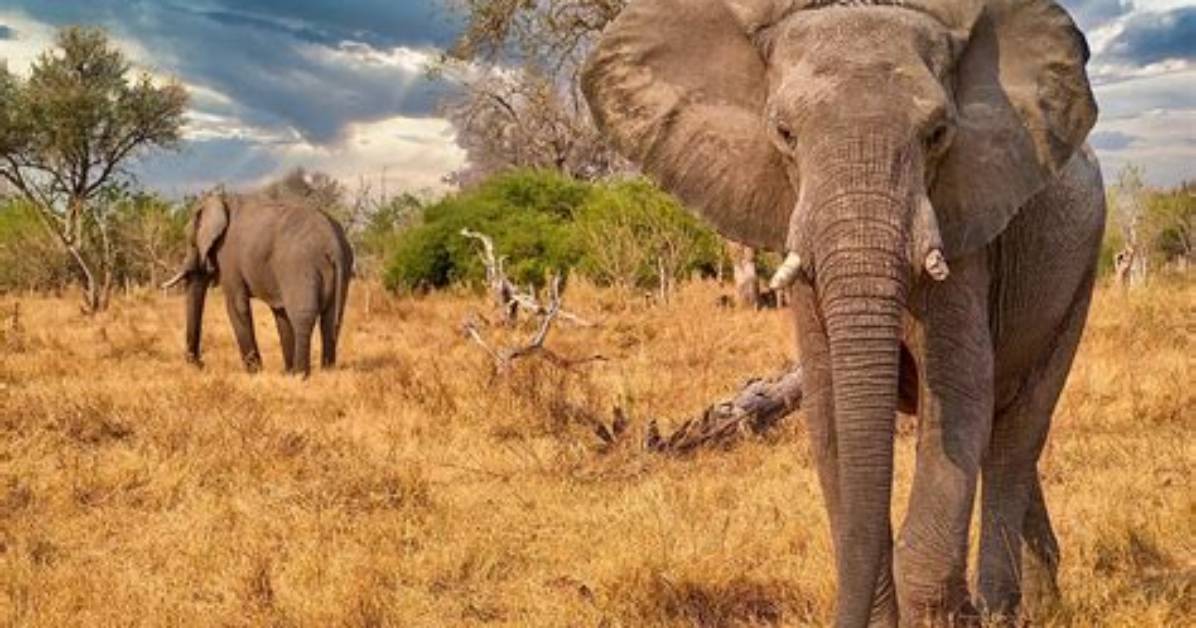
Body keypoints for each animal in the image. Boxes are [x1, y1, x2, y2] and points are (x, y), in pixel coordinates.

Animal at [162, 190, 353, 376]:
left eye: (191, 243)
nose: (200, 364)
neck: (222, 200)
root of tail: (333, 244)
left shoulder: (228, 255)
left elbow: (236, 306)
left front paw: (255, 373)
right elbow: (280, 314)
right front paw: (285, 373)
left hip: (300, 266)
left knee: (303, 318)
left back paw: (301, 375)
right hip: (343, 266)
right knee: (332, 319)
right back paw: (326, 372)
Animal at [583, 0, 1104, 625]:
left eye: (938, 134)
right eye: (784, 133)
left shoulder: (967, 227)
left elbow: (959, 394)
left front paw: (941, 613)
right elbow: (830, 410)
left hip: (1080, 269)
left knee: (1016, 431)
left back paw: (1003, 610)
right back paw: (1042, 603)